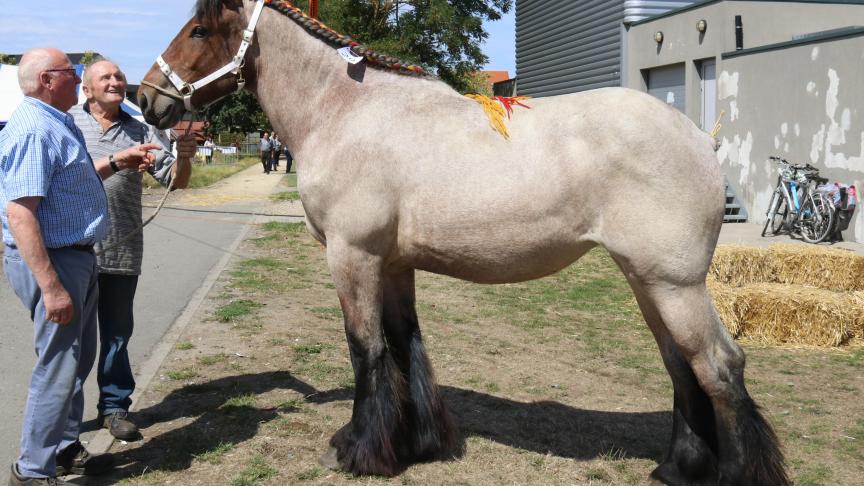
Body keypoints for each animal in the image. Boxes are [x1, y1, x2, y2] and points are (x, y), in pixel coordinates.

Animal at [140, 1, 788, 484]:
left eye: (199, 30)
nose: (147, 98)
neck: (346, 112)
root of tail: (701, 139)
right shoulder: (393, 265)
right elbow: (405, 347)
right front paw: (419, 444)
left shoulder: (352, 256)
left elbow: (366, 351)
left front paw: (359, 450)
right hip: (647, 280)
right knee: (682, 365)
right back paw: (678, 469)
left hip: (674, 283)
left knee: (719, 366)